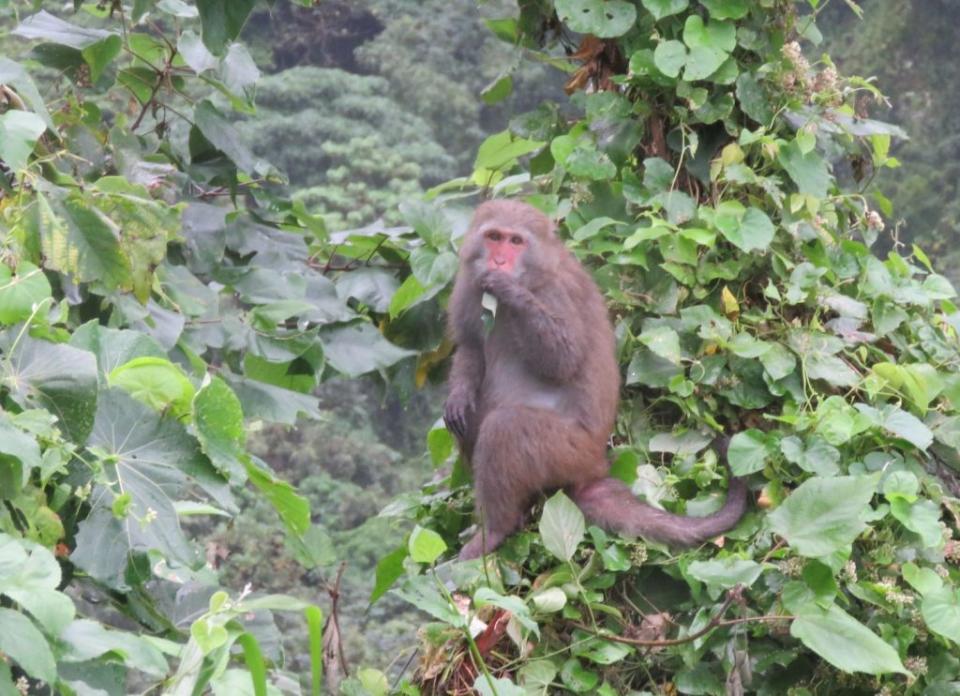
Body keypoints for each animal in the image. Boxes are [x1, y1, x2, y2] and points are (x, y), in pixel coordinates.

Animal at [444, 200, 752, 560]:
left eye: (515, 241)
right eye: (494, 237)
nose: (499, 261)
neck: (534, 275)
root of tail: (594, 467)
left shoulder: (557, 293)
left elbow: (563, 358)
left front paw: (510, 291)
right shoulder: (468, 284)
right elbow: (470, 348)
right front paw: (458, 395)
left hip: (566, 453)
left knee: (504, 428)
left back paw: (496, 529)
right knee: (473, 420)